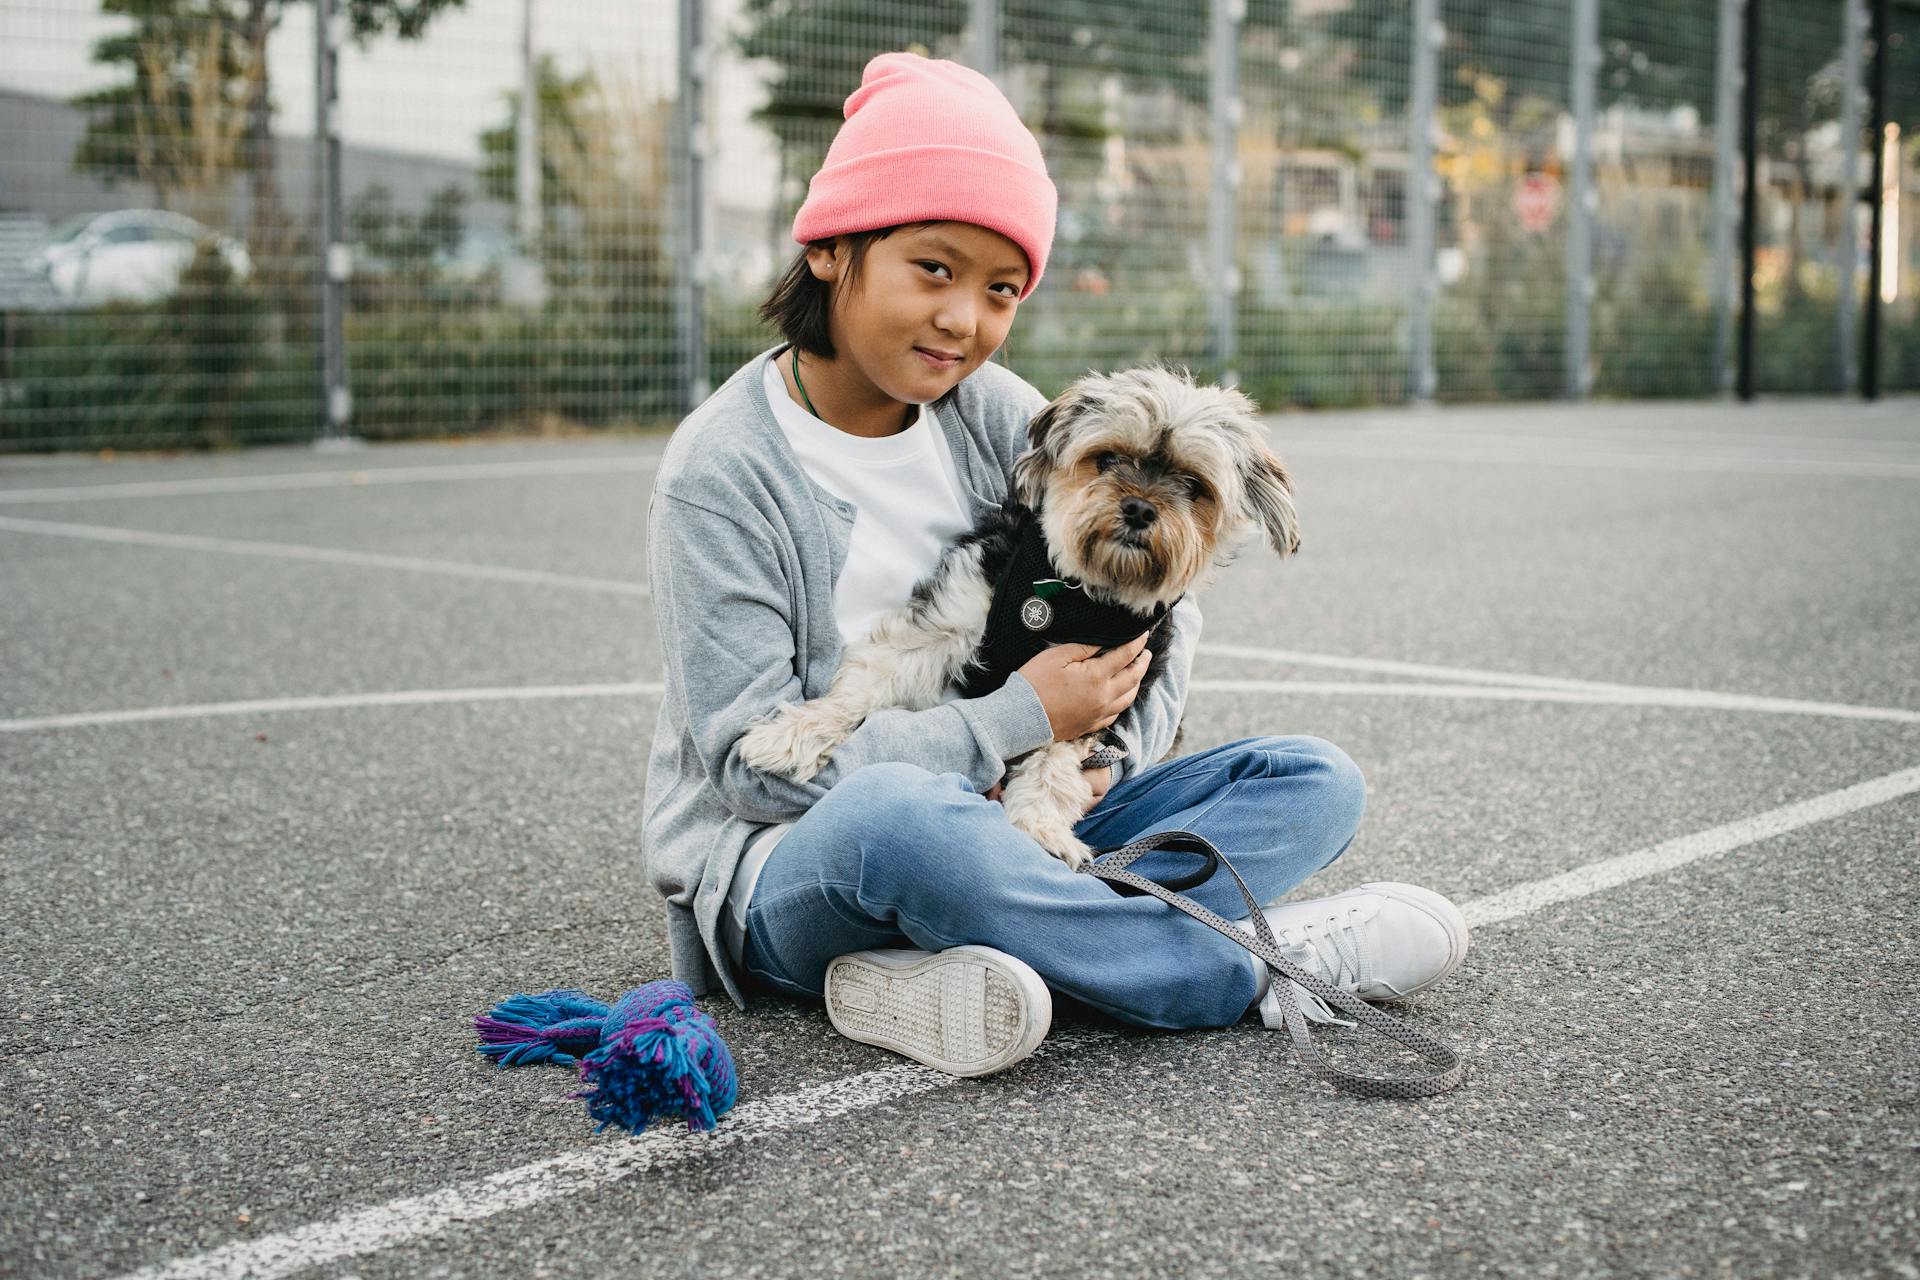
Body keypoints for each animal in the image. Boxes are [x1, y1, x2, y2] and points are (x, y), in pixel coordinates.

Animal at [741, 368, 1297, 871]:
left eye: (1192, 485)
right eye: (1107, 459)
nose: (1139, 509)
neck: (1073, 593)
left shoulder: (1097, 699)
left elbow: (1052, 764)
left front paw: (1040, 829)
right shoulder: (953, 617)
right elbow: (867, 682)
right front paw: (789, 735)